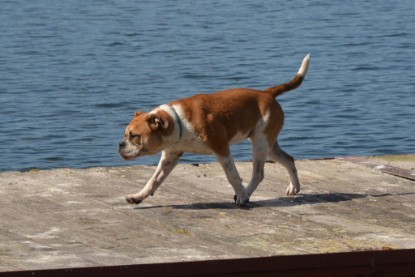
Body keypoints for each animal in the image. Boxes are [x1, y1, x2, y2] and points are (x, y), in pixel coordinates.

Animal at [118, 53, 310, 205]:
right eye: (126, 135)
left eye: (134, 135)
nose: (120, 144)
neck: (178, 122)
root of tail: (268, 93)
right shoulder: (169, 157)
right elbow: (153, 180)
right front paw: (138, 196)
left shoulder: (221, 149)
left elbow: (232, 176)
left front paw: (241, 194)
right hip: (268, 145)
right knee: (288, 159)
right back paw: (294, 187)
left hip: (260, 144)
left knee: (258, 174)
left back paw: (245, 195)